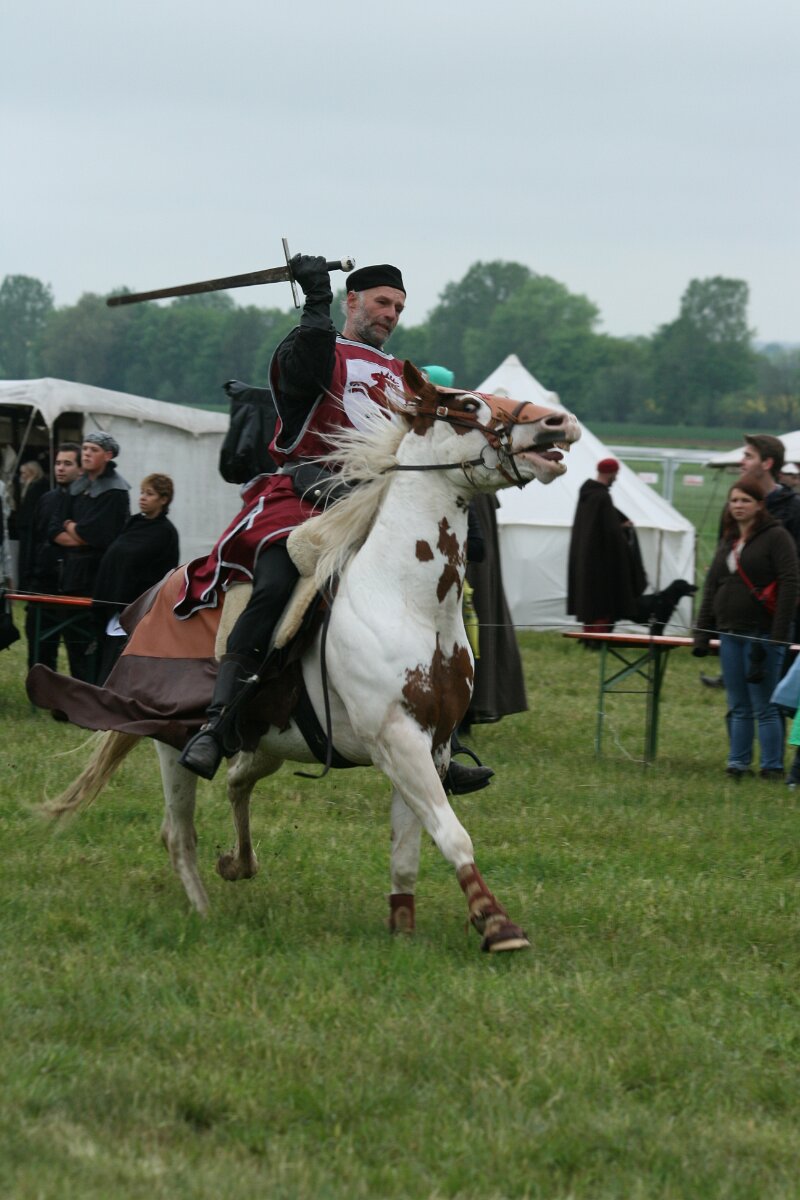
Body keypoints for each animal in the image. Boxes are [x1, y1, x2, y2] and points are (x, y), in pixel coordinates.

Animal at [45, 361, 581, 952]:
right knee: (179, 832)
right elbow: (452, 834)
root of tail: (155, 593)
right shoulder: (398, 739)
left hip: (267, 740)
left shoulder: (432, 746)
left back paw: (239, 864)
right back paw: (204, 911)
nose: (559, 423)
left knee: (237, 780)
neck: (405, 597)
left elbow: (409, 851)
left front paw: (402, 928)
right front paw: (497, 924)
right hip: (170, 740)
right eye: (466, 406)